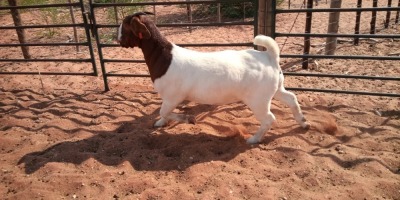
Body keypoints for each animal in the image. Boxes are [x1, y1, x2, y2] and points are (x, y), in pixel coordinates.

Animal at [117, 11, 310, 144]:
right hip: (275, 89)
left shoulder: (172, 96)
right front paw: (160, 123)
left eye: (125, 26)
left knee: (269, 118)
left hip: (258, 99)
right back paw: (304, 122)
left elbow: (164, 111)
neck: (163, 57)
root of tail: (270, 56)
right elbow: (164, 113)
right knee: (291, 98)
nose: (117, 39)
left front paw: (188, 119)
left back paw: (254, 139)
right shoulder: (170, 98)